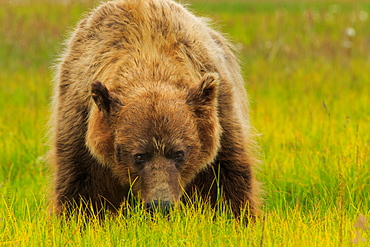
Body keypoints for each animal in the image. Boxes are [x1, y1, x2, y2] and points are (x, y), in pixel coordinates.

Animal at [49, 0, 262, 220]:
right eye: (139, 155)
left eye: (179, 153)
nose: (161, 204)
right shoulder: (79, 120)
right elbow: (82, 188)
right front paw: (76, 217)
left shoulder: (220, 114)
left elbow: (227, 179)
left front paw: (238, 217)